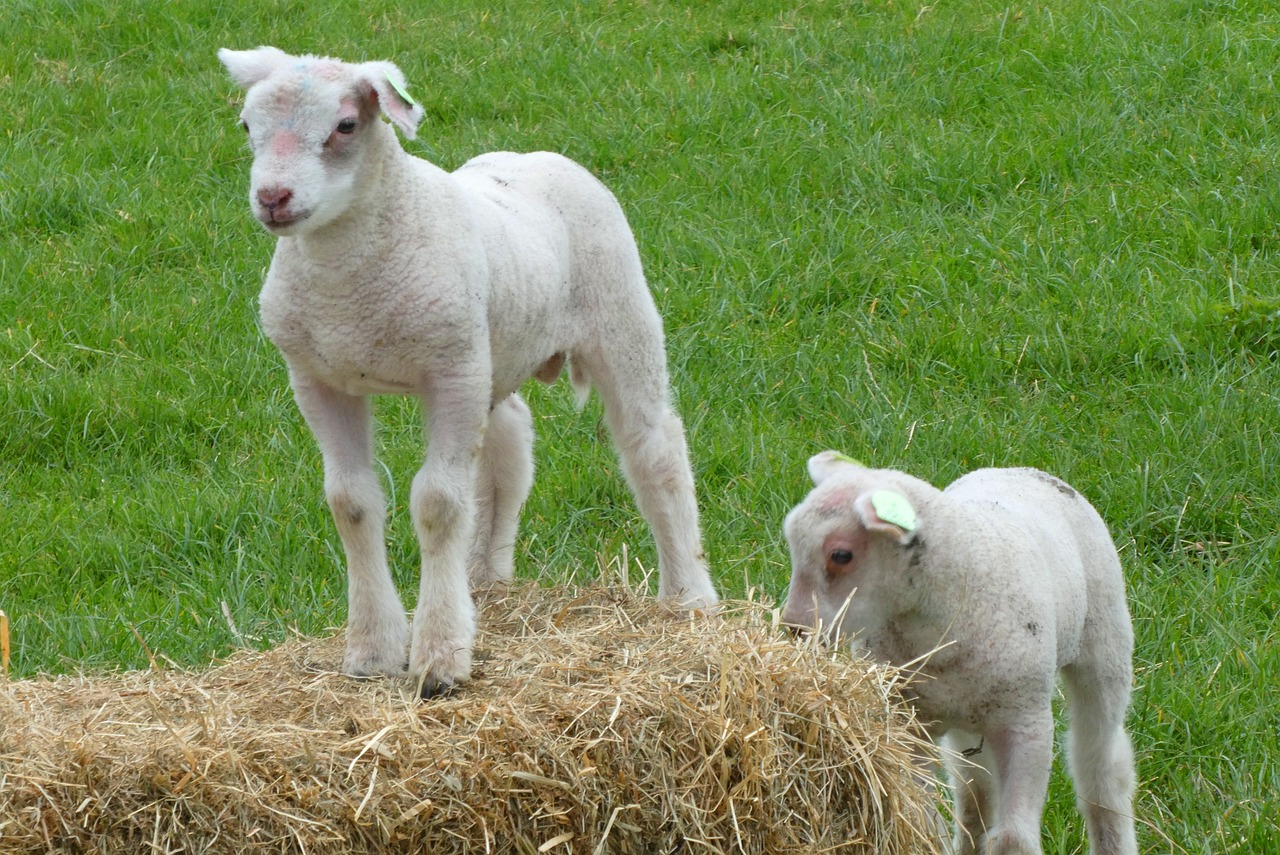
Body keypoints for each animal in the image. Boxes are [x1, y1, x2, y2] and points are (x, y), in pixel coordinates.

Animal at [220, 46, 721, 696]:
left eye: (346, 125)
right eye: (246, 126)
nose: (274, 198)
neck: (348, 287)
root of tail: (538, 155)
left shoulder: (449, 373)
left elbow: (437, 503)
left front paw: (438, 659)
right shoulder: (320, 380)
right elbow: (351, 502)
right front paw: (372, 650)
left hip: (618, 313)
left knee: (653, 447)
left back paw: (688, 596)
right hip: (492, 353)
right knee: (508, 445)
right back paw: (483, 575)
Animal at [778, 450, 1131, 849]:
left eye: (841, 555)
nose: (795, 628)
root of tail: (1018, 468)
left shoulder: (1027, 723)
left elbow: (1012, 840)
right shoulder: (906, 724)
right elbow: (923, 820)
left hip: (1105, 647)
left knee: (1102, 771)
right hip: (966, 717)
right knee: (974, 794)